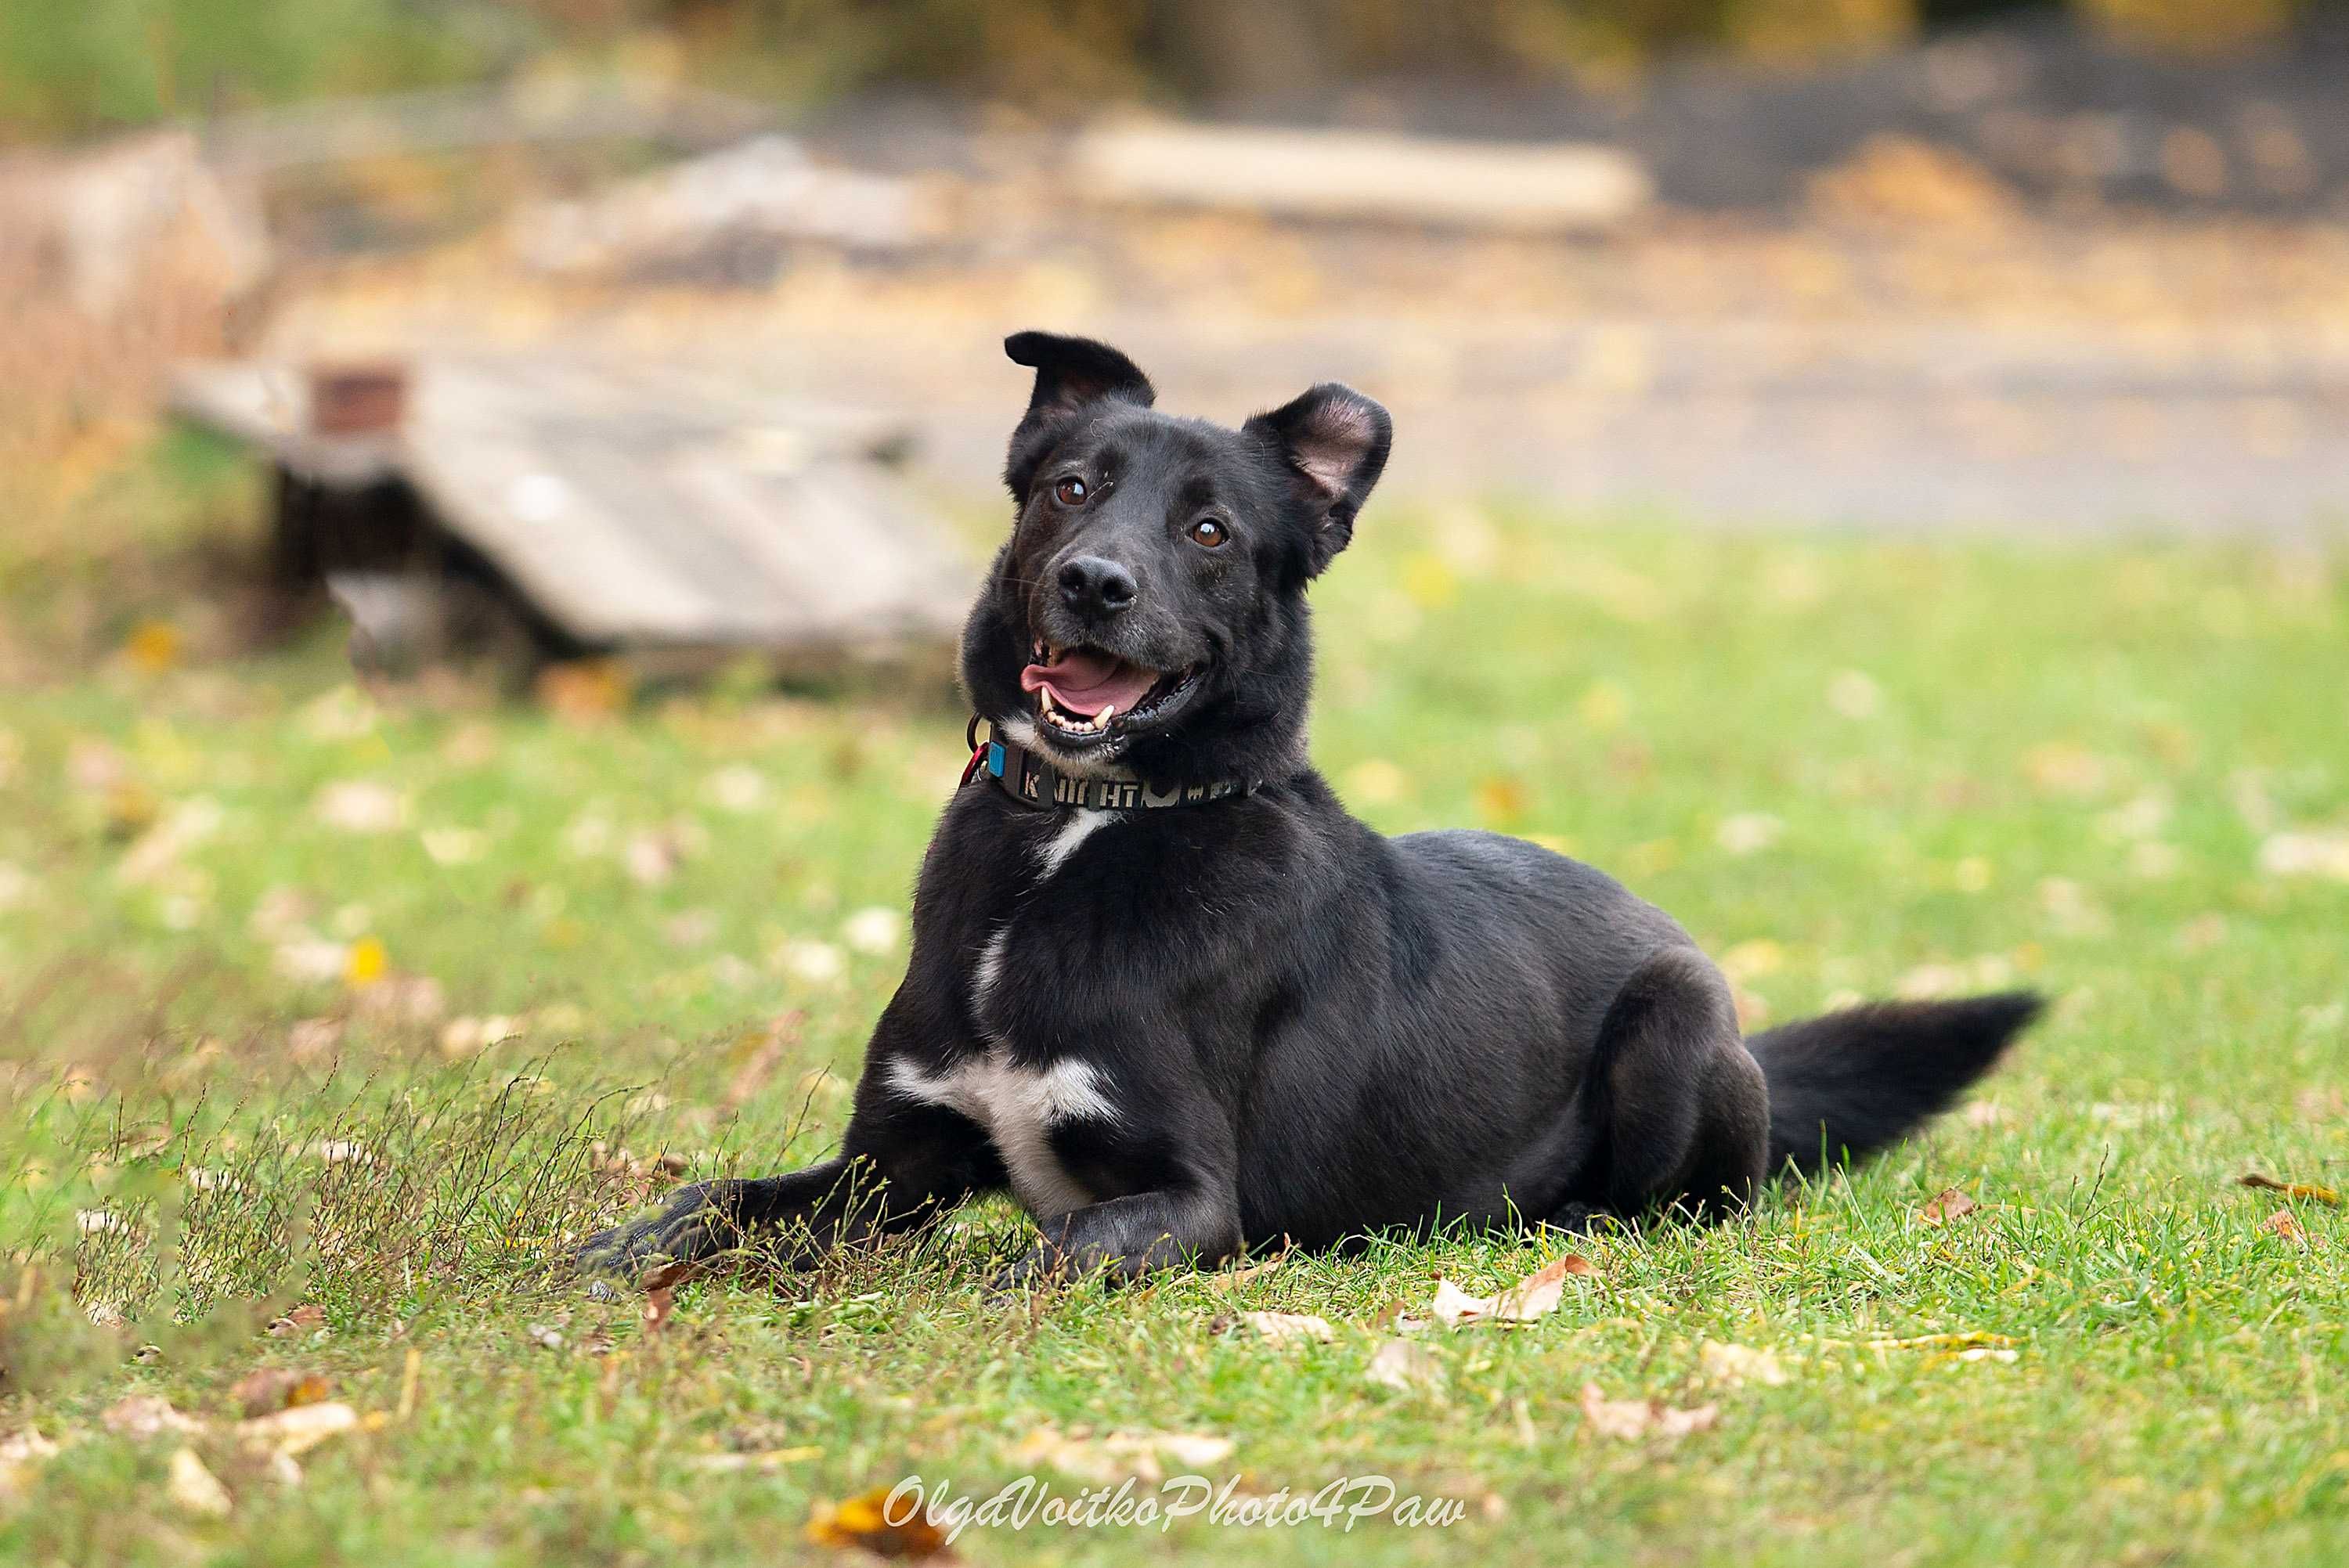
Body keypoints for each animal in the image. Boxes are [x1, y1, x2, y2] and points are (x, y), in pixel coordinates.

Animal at [573, 330, 2039, 1286]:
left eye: (1212, 531)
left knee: (1679, 1205)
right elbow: (721, 1198)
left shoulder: (1189, 1195)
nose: (1096, 582)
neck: (1085, 824)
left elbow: (1047, 1250)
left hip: (1676, 1022)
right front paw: (615, 1249)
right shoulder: (889, 1163)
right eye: (1070, 489)